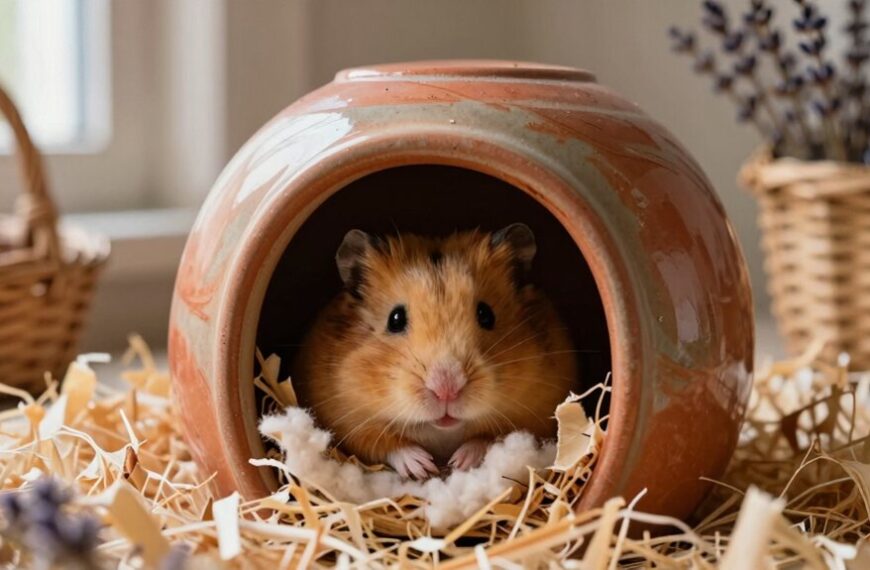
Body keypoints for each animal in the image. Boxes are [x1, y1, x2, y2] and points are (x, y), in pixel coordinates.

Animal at [294, 223, 577, 479]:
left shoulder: (538, 416)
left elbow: (489, 437)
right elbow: (387, 444)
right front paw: (422, 466)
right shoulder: (346, 422)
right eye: (395, 319)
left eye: (486, 315)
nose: (446, 390)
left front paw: (460, 461)